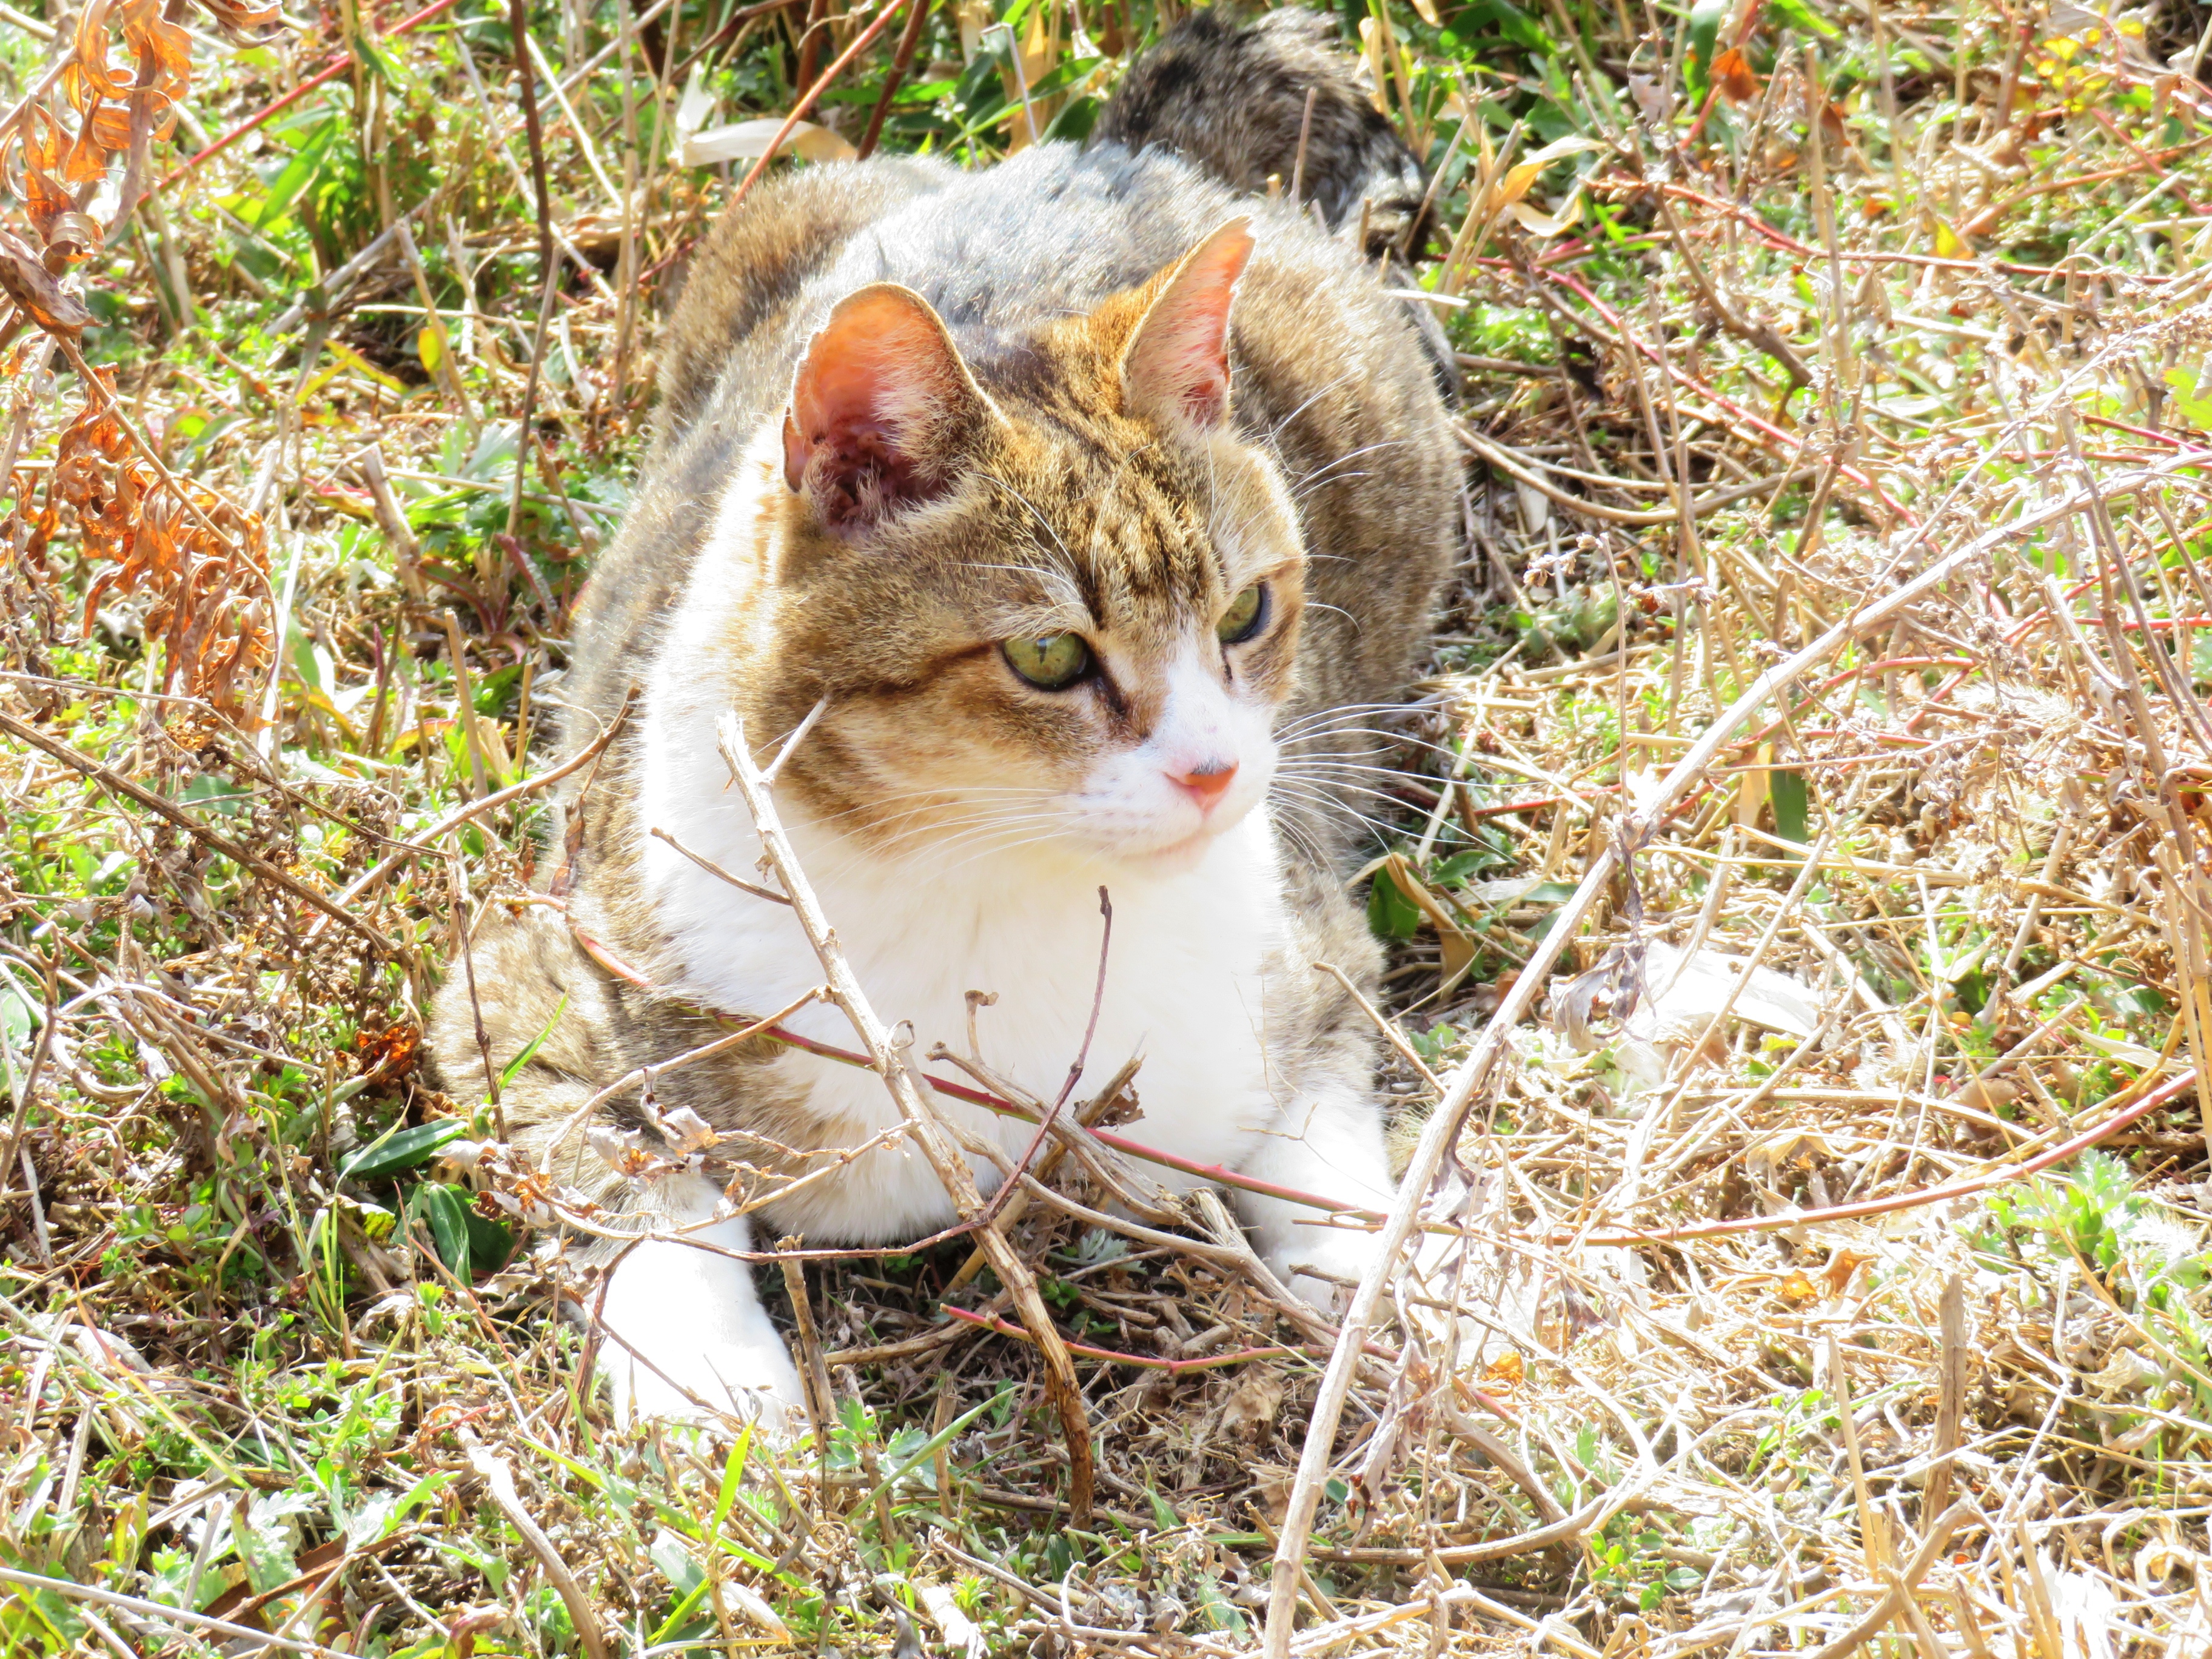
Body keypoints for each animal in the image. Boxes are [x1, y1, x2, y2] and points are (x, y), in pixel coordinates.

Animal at [431, 3, 1469, 1433]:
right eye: (1047, 655)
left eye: (1248, 612)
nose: (1216, 773)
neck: (992, 886)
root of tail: (1112, 146)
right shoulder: (528, 981)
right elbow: (641, 1188)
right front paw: (718, 1396)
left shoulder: (1309, 959)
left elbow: (1324, 1156)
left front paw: (1392, 1311)